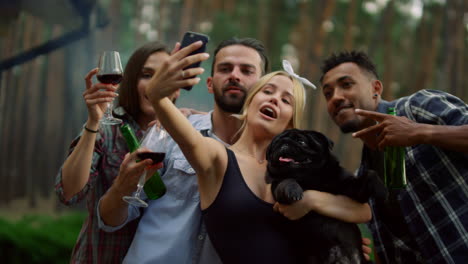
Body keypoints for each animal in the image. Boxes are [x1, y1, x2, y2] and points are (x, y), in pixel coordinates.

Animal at [266, 129, 386, 262]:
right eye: (276, 144)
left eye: (301, 142)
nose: (284, 143)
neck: (311, 177)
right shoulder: (277, 185)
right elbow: (286, 180)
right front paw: (292, 190)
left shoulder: (354, 190)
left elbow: (371, 173)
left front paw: (382, 191)